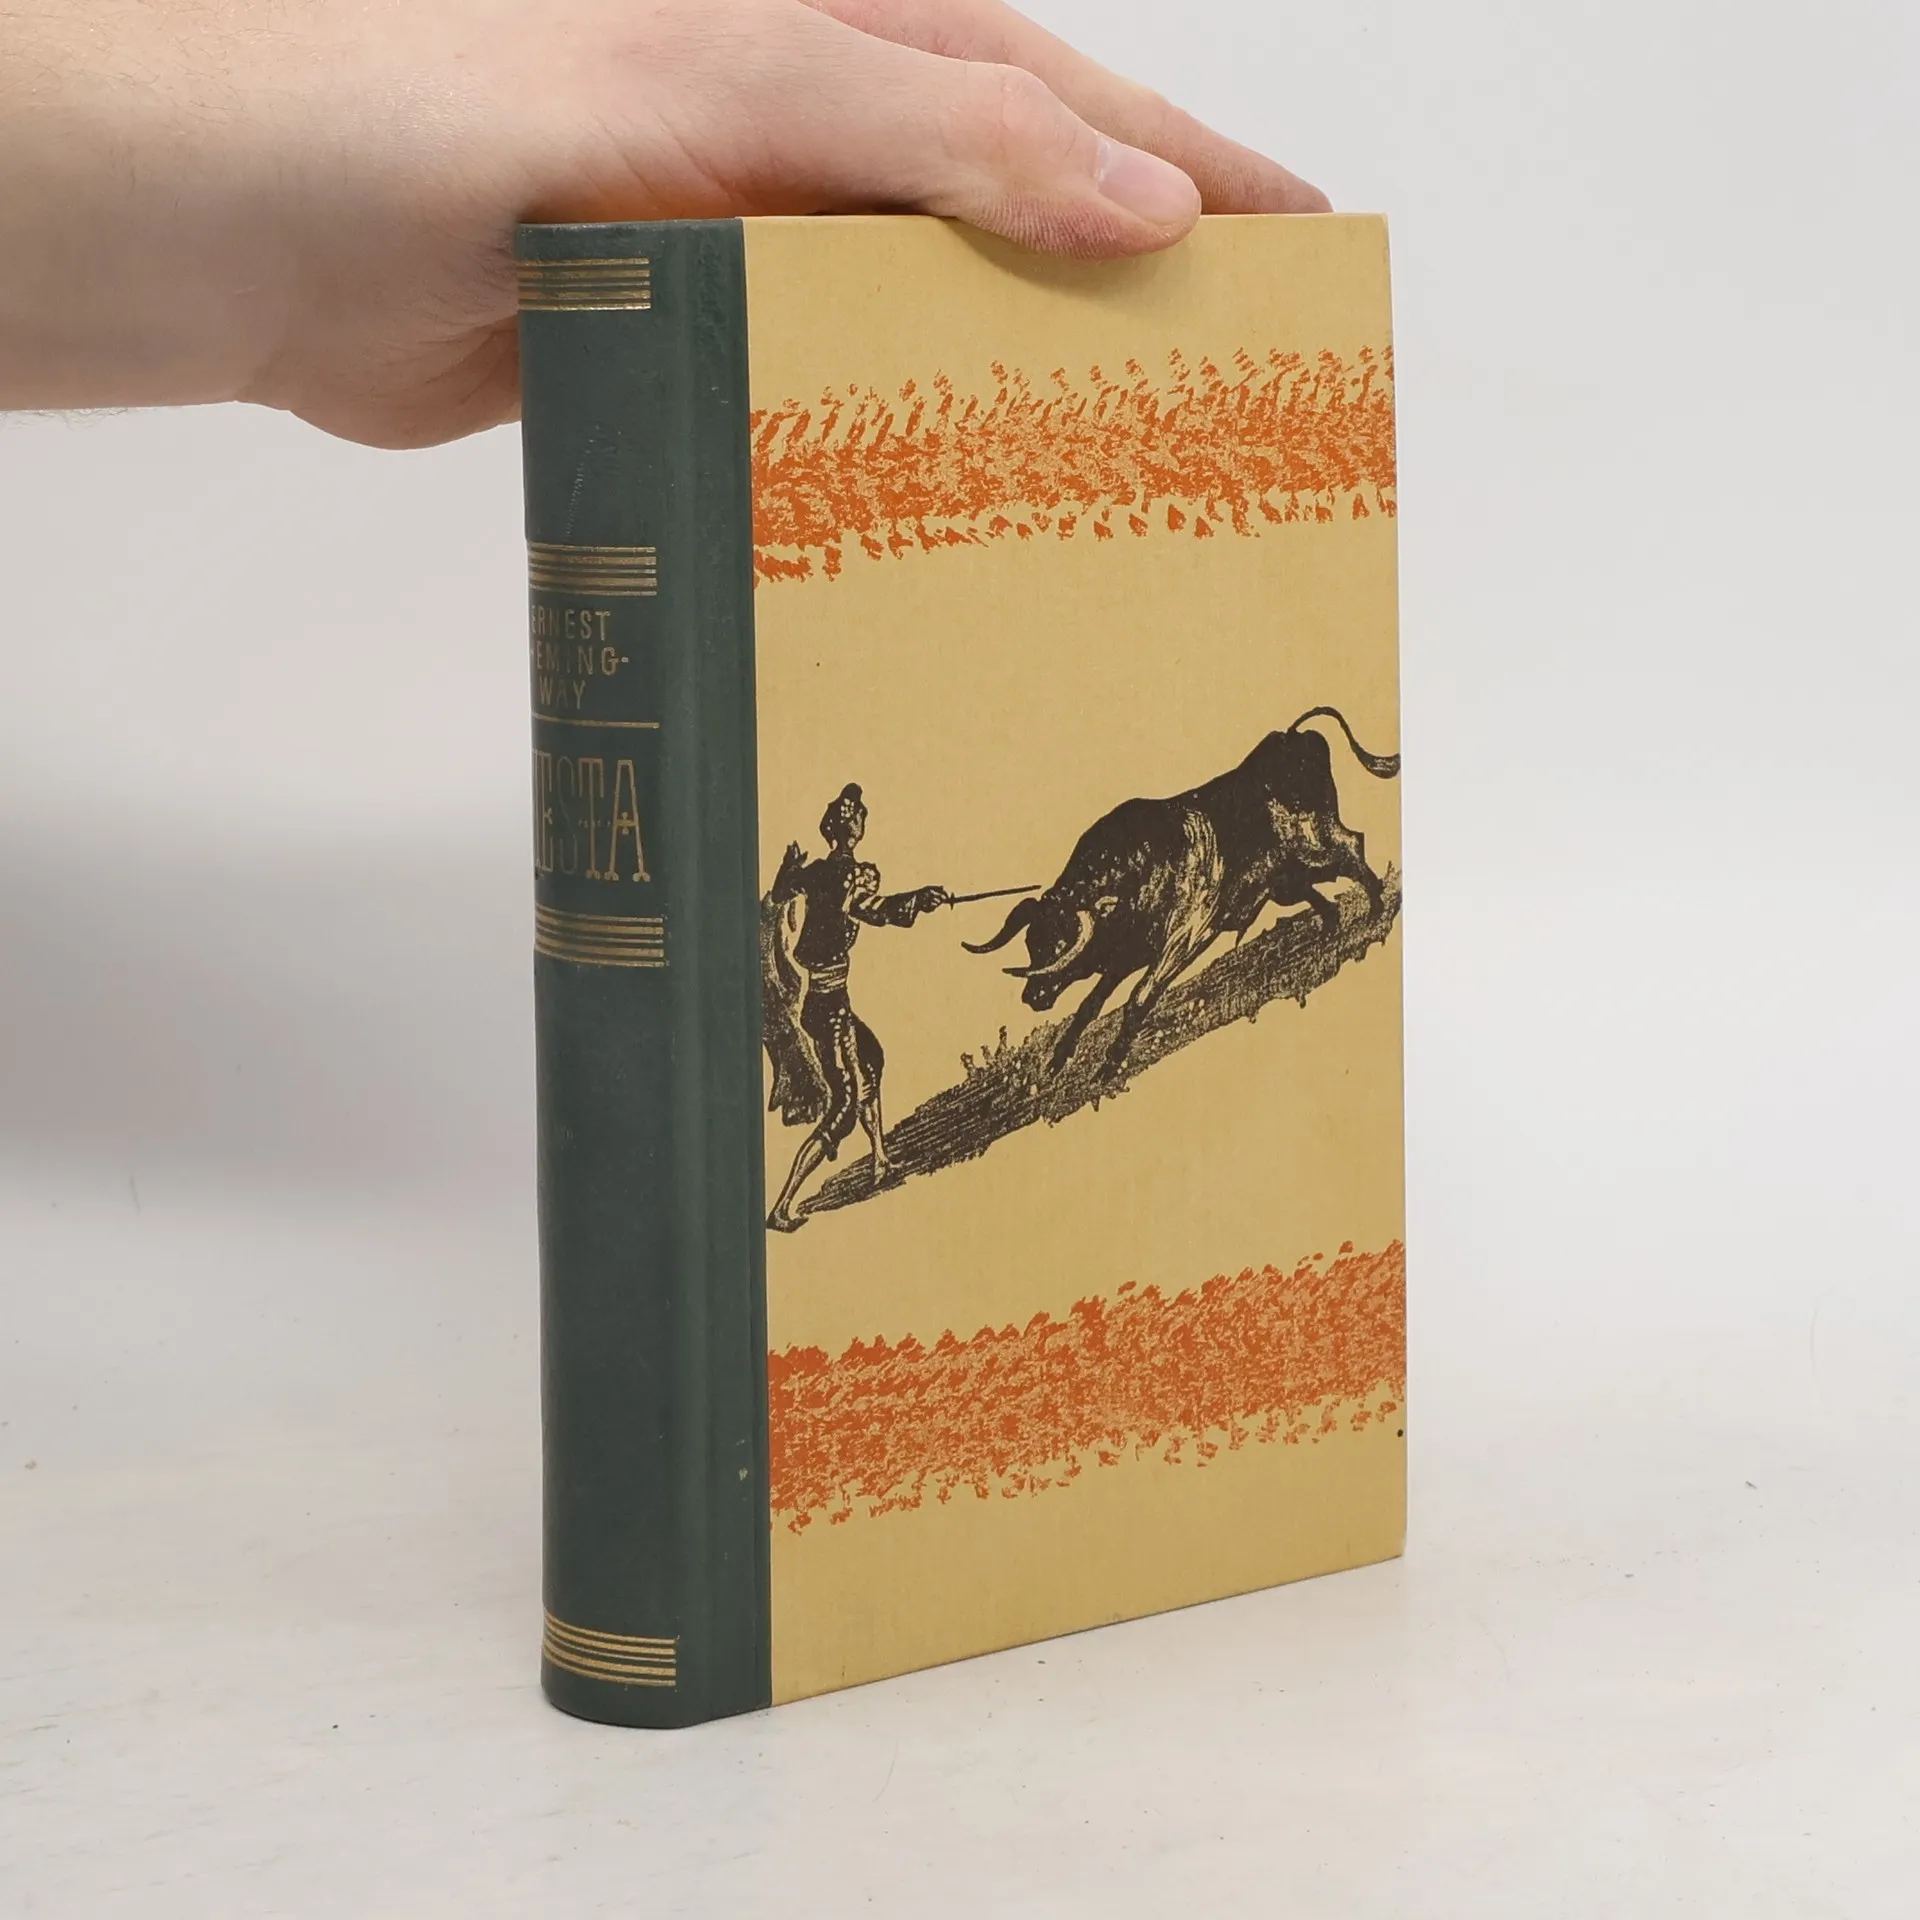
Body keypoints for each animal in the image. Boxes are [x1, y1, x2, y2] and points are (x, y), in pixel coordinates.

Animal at [963, 707, 1399, 1077]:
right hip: (1287, 881)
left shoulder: (1183, 938)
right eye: (1031, 941)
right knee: (1320, 889)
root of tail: (1293, 737)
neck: (1137, 873)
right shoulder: (1126, 958)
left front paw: (1111, 1064)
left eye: (1060, 941)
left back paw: (1377, 907)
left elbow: (1139, 997)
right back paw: (1333, 925)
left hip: (1314, 844)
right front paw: (1057, 1062)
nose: (1032, 996)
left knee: (1352, 847)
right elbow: (1090, 1005)